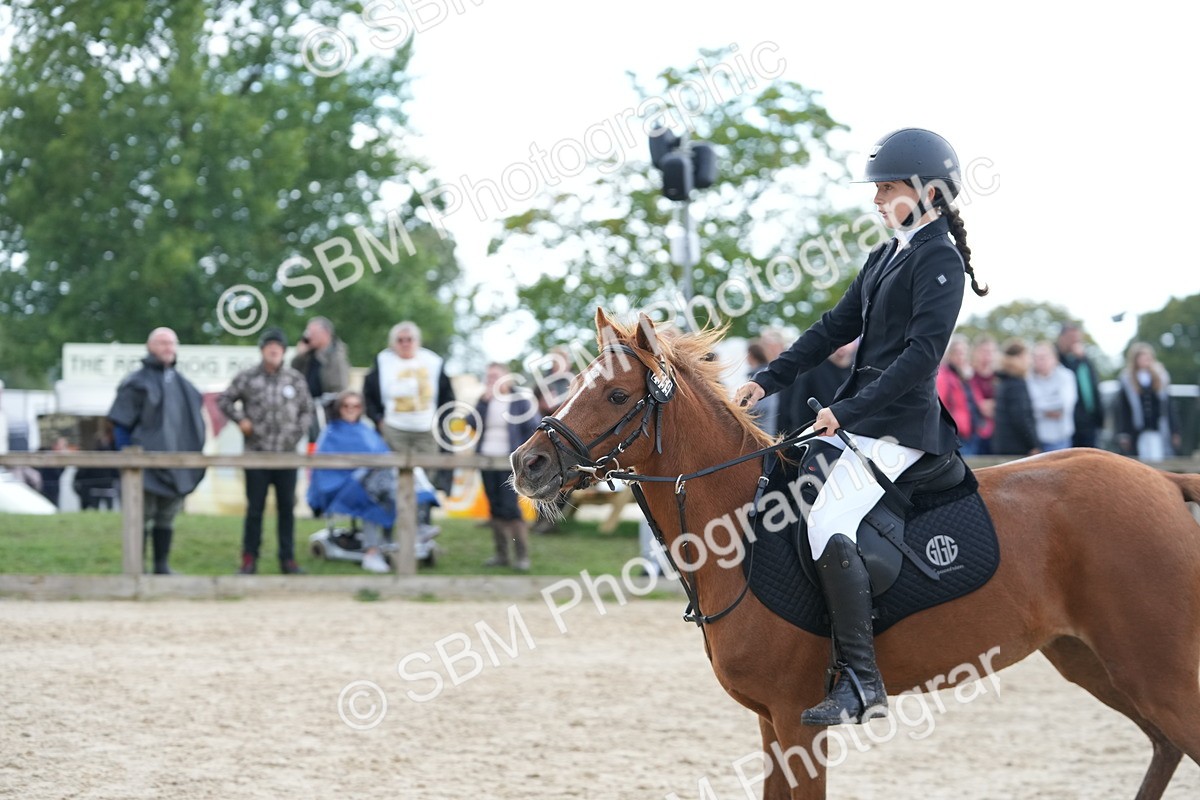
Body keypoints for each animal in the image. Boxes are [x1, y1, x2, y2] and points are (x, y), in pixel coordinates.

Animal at [511, 308, 1200, 800]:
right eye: (573, 385)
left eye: (616, 397)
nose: (527, 464)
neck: (743, 527)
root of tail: (1164, 482)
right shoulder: (769, 724)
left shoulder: (799, 722)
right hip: (1093, 661)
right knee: (1164, 747)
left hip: (1155, 669)